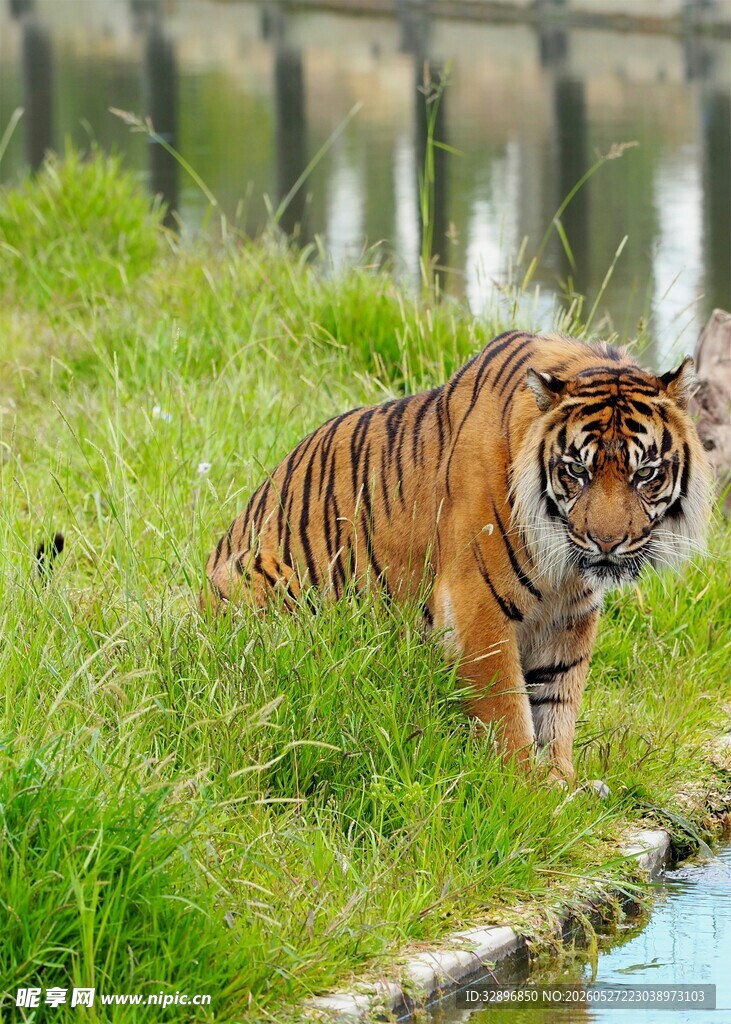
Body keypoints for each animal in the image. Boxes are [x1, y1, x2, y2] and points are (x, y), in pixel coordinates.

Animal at [201, 330, 712, 782]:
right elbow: (506, 704)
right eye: (575, 470)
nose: (605, 542)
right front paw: (524, 785)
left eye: (645, 473)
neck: (562, 567)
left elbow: (558, 701)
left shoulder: (571, 616)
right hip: (270, 579)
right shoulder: (477, 602)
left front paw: (562, 780)